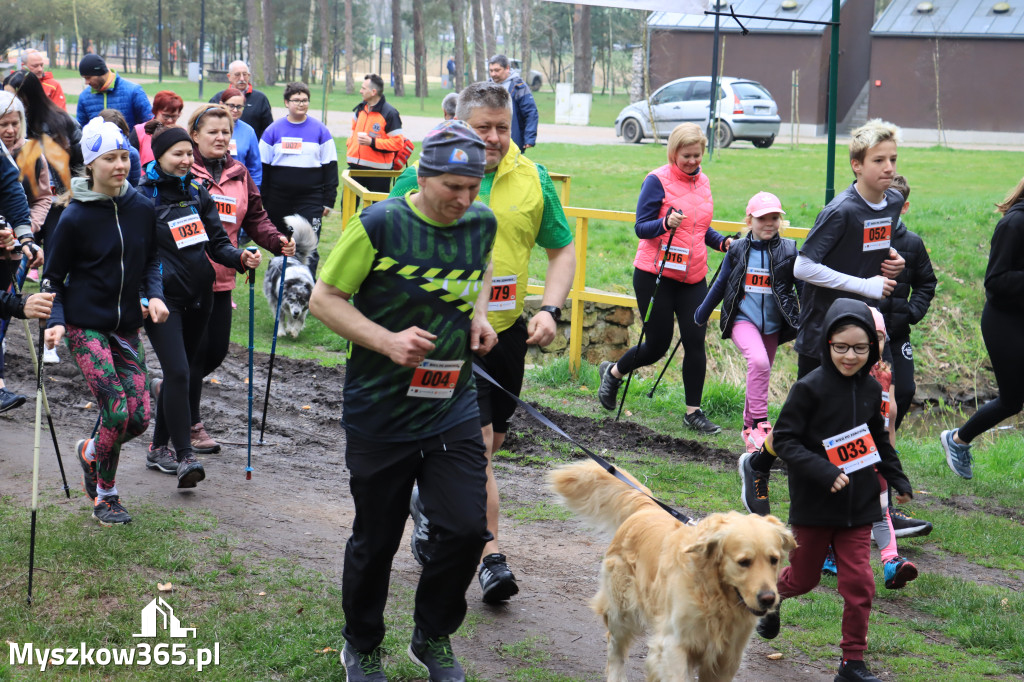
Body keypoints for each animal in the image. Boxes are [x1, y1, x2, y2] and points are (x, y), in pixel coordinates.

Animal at [548, 458, 794, 675]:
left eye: (773, 560)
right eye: (744, 562)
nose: (768, 599)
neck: (714, 595)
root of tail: (647, 507)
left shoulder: (726, 658)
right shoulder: (673, 645)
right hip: (622, 611)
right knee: (615, 649)